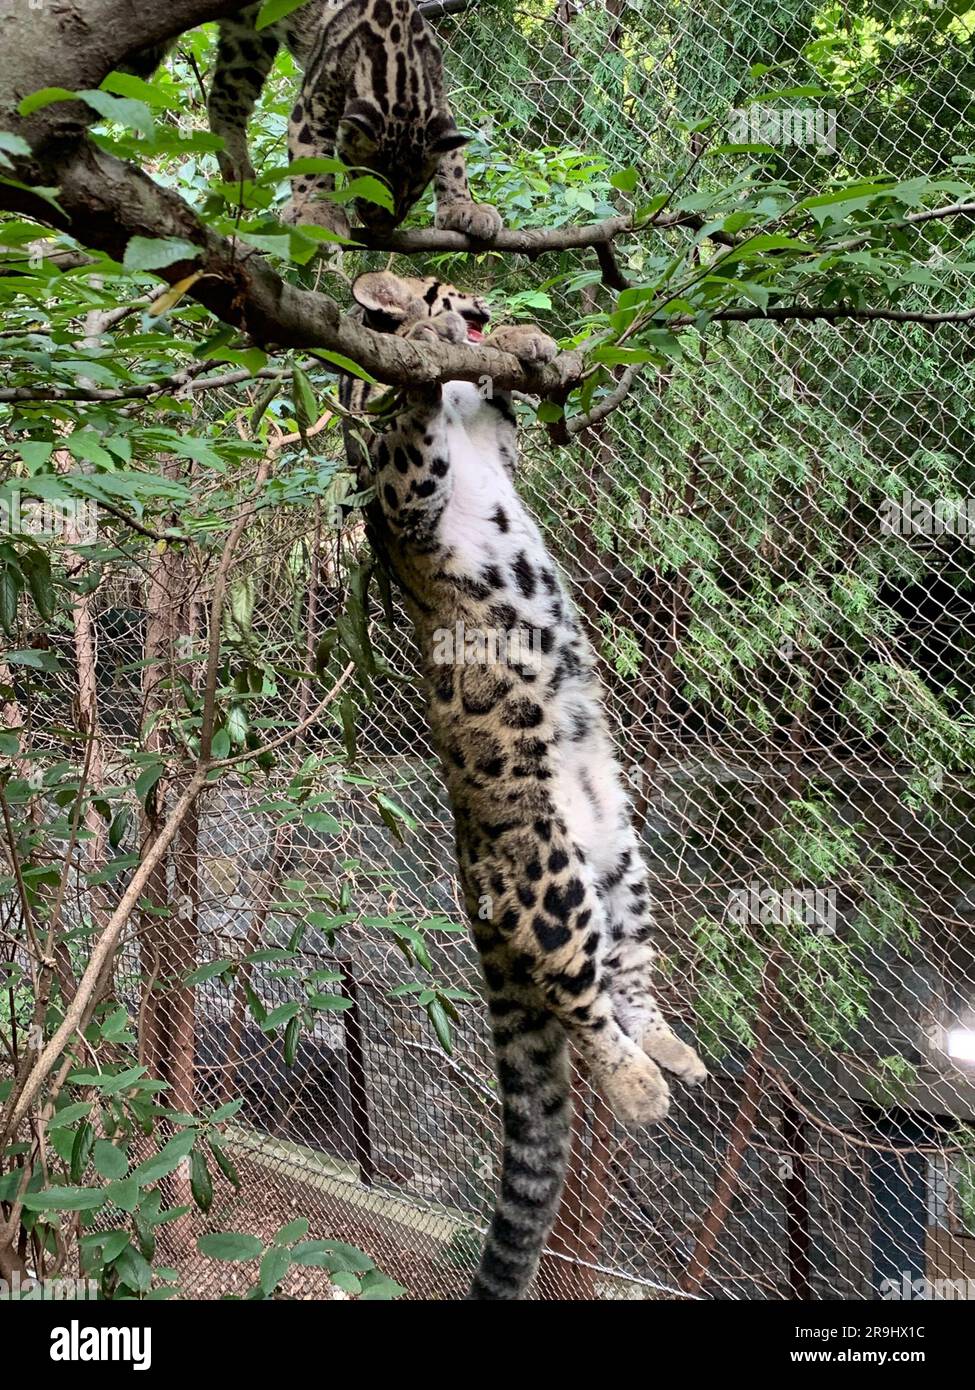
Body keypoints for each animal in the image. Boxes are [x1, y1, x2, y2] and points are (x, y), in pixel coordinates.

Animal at [129, 0, 500, 237]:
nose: (381, 229)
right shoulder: (314, 99)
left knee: (224, 98)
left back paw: (240, 174)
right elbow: (312, 156)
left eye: (412, 193)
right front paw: (317, 214)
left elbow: (453, 159)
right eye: (361, 177)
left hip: (249, 41)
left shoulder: (440, 106)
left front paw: (463, 208)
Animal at [337, 273, 703, 1301]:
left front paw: (527, 344)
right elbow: (402, 417)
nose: (478, 304)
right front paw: (427, 350)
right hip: (546, 876)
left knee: (625, 975)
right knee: (575, 1000)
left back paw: (669, 1052)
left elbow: (506, 412)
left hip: (621, 858)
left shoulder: (495, 442)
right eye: (441, 285)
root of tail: (469, 868)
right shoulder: (398, 487)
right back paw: (640, 1089)